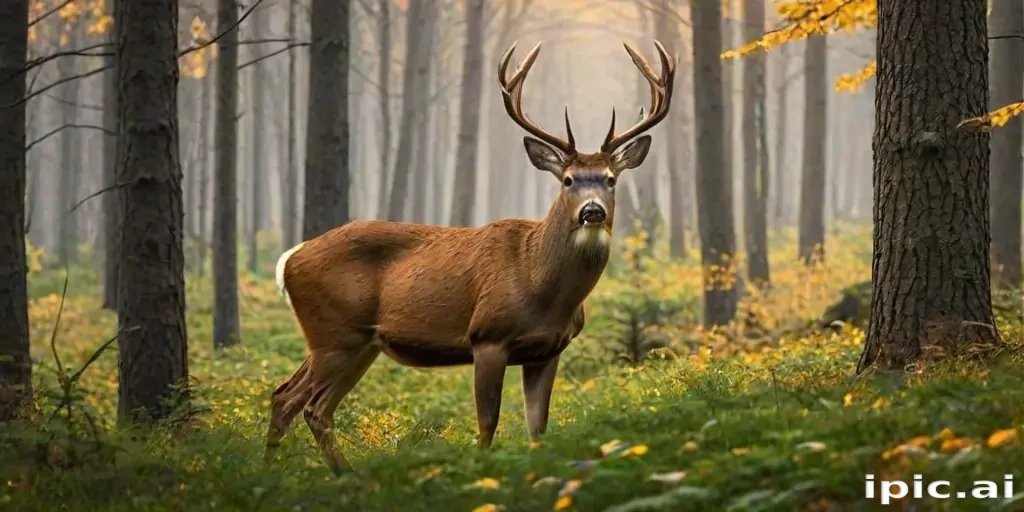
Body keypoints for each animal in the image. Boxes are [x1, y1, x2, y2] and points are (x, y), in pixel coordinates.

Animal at [264, 39, 675, 475]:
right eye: (567, 180)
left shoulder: (549, 350)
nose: (592, 211)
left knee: (293, 399)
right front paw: (480, 473)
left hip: (358, 342)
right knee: (302, 403)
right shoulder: (487, 336)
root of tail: (290, 258)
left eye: (611, 180)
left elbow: (538, 427)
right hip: (334, 332)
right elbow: (487, 423)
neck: (539, 282)